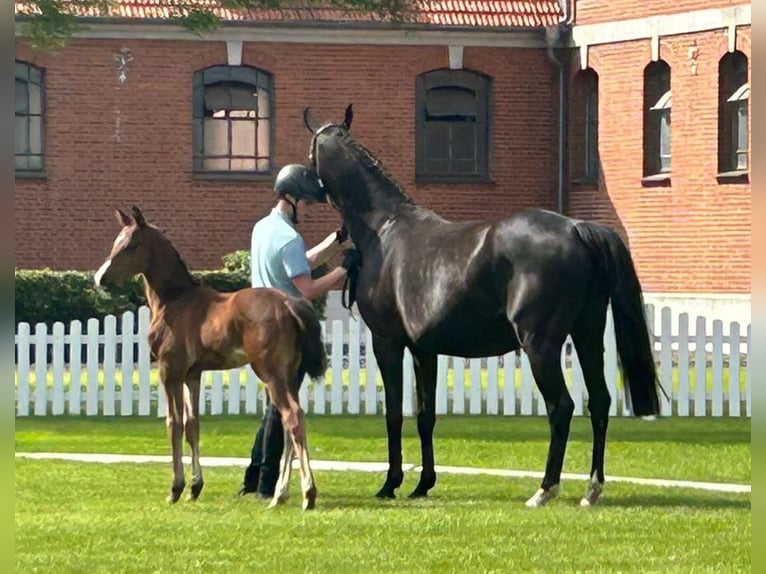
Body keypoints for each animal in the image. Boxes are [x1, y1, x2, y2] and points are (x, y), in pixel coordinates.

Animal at [94, 205, 326, 510]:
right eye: (116, 241)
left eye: (131, 245)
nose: (100, 279)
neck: (175, 300)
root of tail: (289, 303)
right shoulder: (192, 374)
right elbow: (193, 424)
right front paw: (195, 487)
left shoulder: (170, 371)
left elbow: (174, 423)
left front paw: (175, 489)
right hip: (291, 377)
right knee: (289, 424)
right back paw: (280, 494)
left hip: (271, 375)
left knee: (293, 418)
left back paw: (307, 494)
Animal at [304, 104, 664, 508]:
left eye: (310, 151)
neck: (385, 228)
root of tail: (576, 228)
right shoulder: (424, 350)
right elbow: (425, 415)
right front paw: (423, 484)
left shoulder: (387, 343)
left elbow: (394, 413)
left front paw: (390, 483)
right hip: (587, 335)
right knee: (599, 402)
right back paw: (592, 489)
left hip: (541, 345)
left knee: (562, 407)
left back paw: (544, 489)